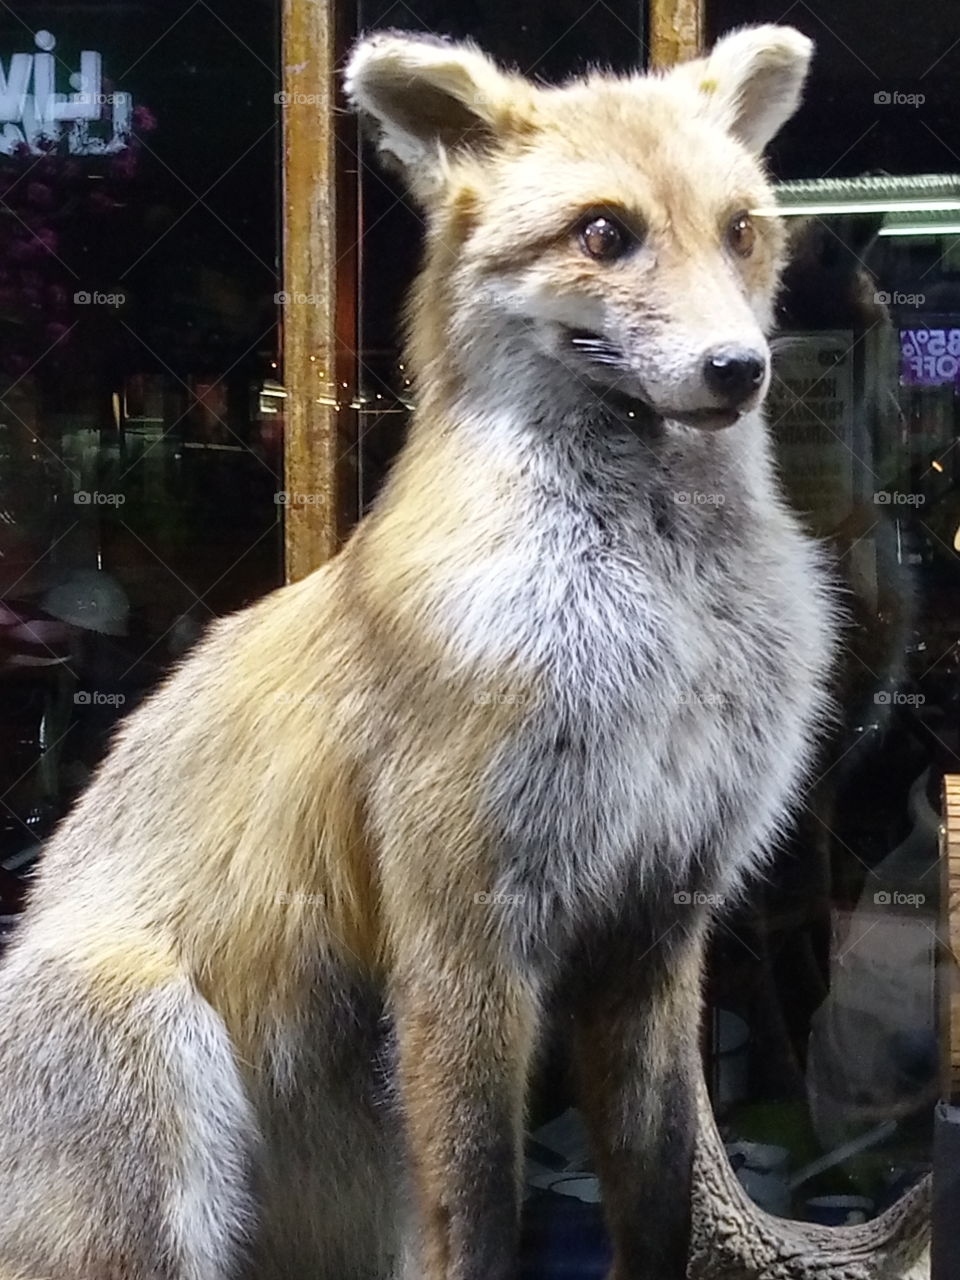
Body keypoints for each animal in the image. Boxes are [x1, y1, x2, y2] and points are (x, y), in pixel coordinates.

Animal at [0, 23, 836, 1280]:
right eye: (605, 232)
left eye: (740, 229)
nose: (740, 369)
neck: (664, 632)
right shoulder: (462, 932)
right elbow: (482, 1213)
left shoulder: (656, 921)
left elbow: (659, 1201)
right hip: (157, 1062)